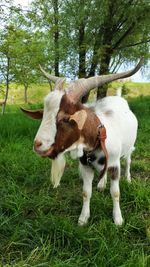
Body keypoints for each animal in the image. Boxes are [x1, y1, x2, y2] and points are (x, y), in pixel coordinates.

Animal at [21, 58, 144, 226]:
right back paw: (101, 184)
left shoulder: (114, 164)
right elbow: (86, 193)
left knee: (128, 161)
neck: (99, 139)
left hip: (129, 148)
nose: (38, 145)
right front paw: (83, 218)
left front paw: (118, 219)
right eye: (44, 114)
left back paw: (128, 178)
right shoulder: (86, 166)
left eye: (66, 118)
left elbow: (115, 193)